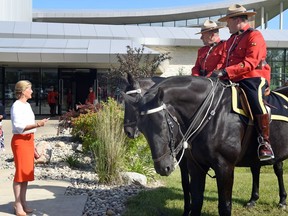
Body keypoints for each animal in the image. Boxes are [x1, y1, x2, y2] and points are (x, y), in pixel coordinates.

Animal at [122, 74, 288, 216]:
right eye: (143, 128)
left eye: (163, 124)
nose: (163, 168)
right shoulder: (194, 165)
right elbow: (194, 198)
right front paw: (187, 211)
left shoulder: (225, 167)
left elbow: (225, 206)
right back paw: (255, 199)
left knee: (276, 169)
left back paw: (281, 200)